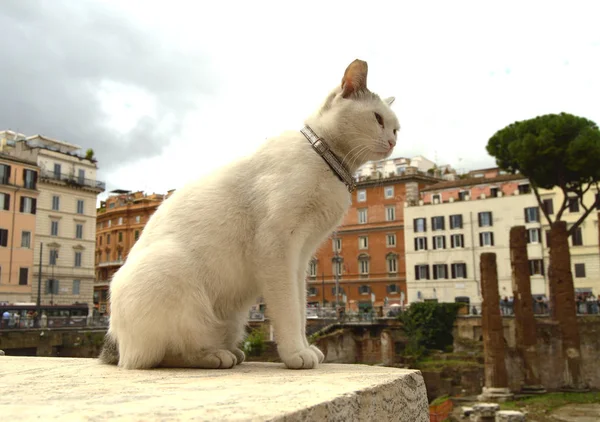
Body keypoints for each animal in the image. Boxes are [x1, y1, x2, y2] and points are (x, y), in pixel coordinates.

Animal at [99, 59, 398, 370]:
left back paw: (231, 351)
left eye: (396, 128)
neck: (327, 161)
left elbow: (301, 308)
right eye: (378, 119)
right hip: (171, 273)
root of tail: (113, 340)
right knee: (156, 356)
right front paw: (295, 353)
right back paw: (215, 356)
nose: (392, 142)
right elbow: (288, 309)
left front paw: (305, 348)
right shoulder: (276, 247)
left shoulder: (301, 257)